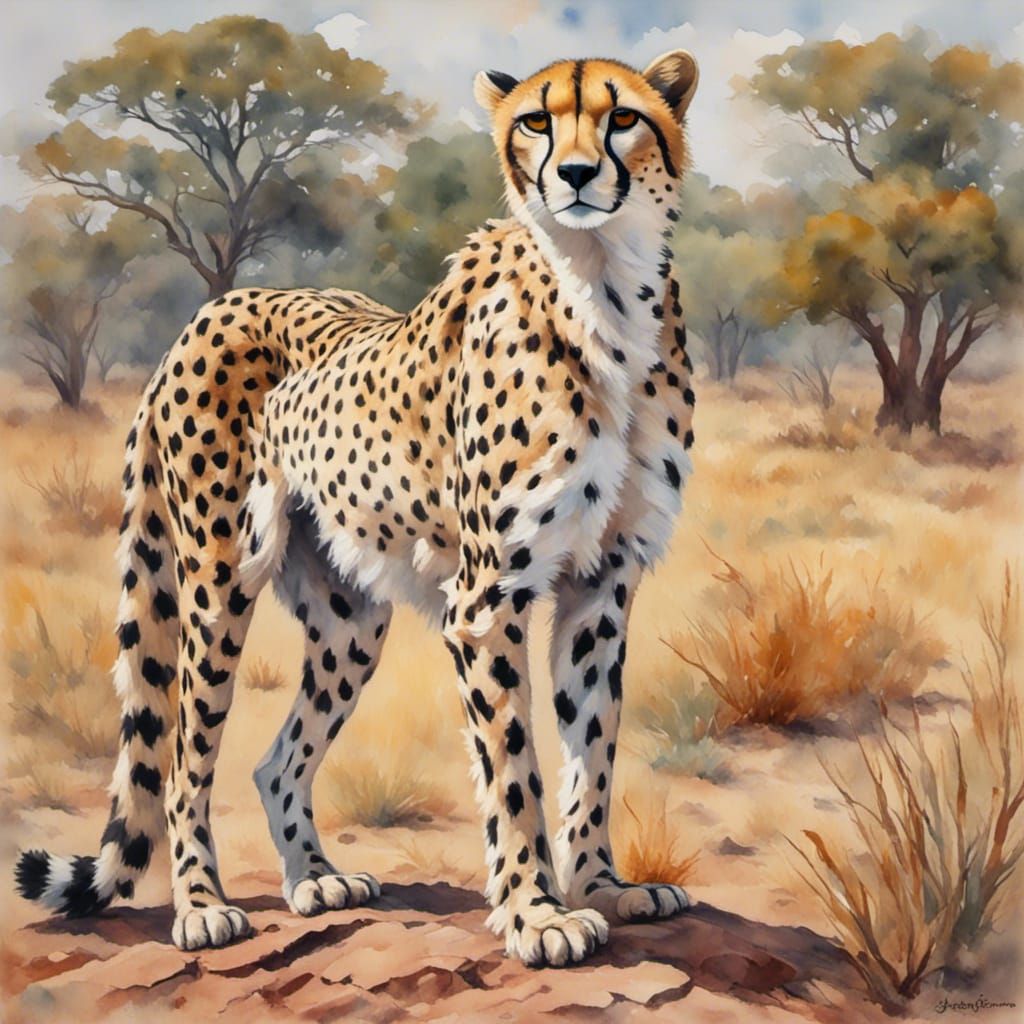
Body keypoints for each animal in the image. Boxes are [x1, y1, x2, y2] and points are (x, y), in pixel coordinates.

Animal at [16, 49, 699, 968]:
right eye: (536, 121)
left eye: (622, 117)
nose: (579, 174)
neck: (603, 288)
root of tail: (212, 309)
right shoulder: (488, 599)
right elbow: (513, 767)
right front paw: (536, 912)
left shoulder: (602, 586)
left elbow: (591, 750)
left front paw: (602, 887)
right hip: (217, 583)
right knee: (186, 753)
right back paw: (202, 905)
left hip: (348, 621)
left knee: (275, 762)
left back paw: (314, 880)